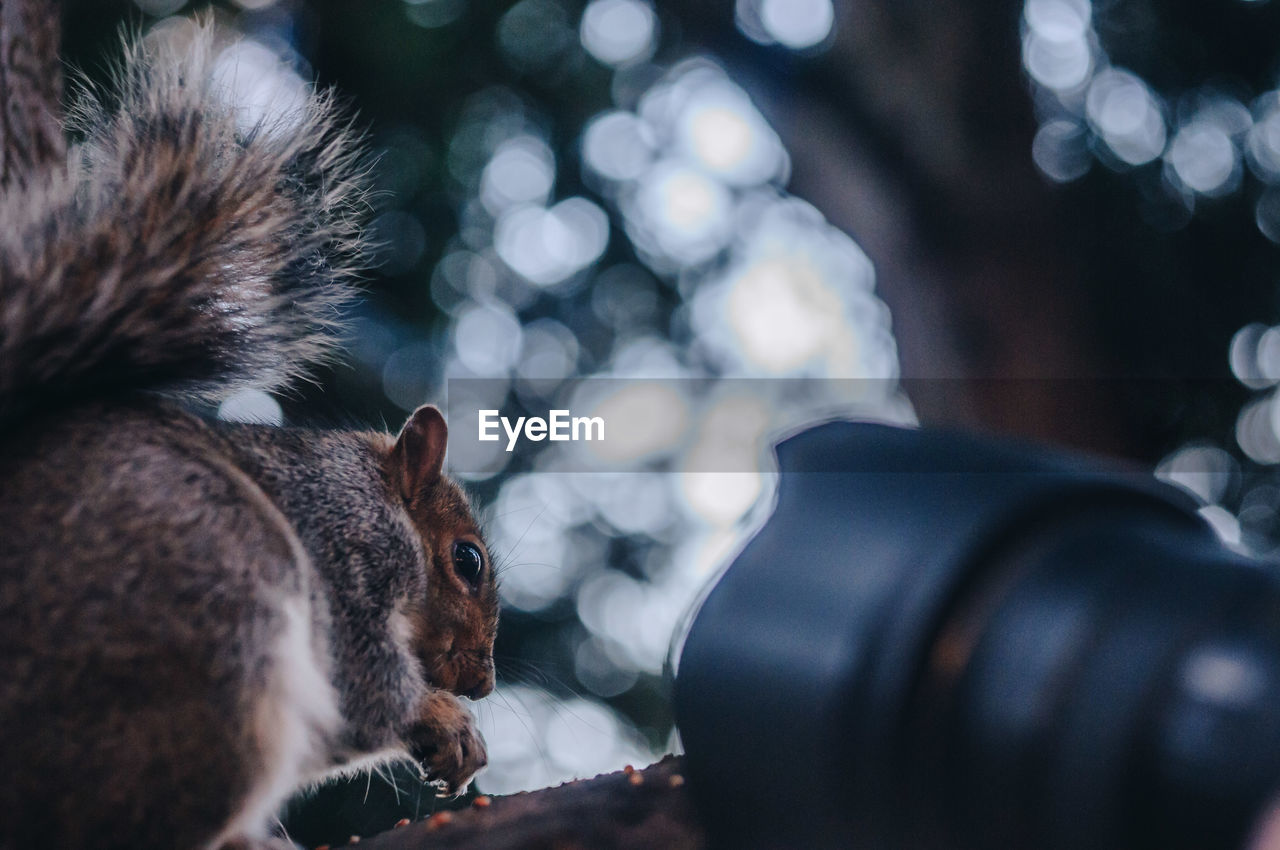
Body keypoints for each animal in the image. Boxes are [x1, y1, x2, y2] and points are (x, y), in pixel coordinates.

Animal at [0, 23, 499, 844]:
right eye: (467, 560)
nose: (483, 682)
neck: (372, 490)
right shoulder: (347, 550)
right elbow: (362, 687)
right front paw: (445, 720)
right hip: (219, 606)